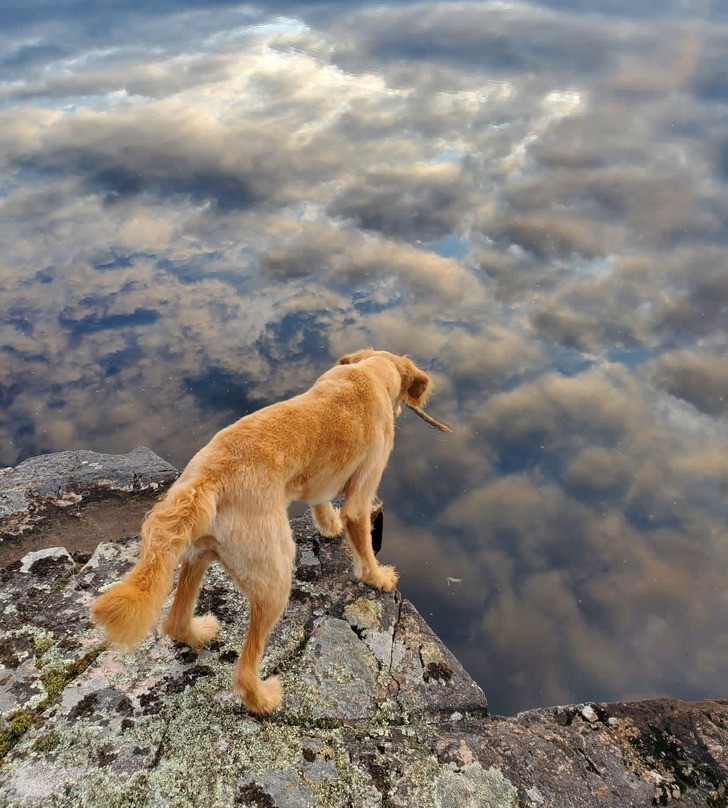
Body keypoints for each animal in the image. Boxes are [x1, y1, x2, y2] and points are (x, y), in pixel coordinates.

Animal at [90, 350, 432, 716]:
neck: (368, 374)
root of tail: (205, 481)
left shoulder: (320, 482)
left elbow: (321, 503)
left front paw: (329, 526)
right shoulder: (363, 488)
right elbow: (364, 544)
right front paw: (377, 577)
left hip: (197, 554)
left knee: (174, 620)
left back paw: (198, 633)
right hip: (275, 578)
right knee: (243, 668)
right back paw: (262, 698)